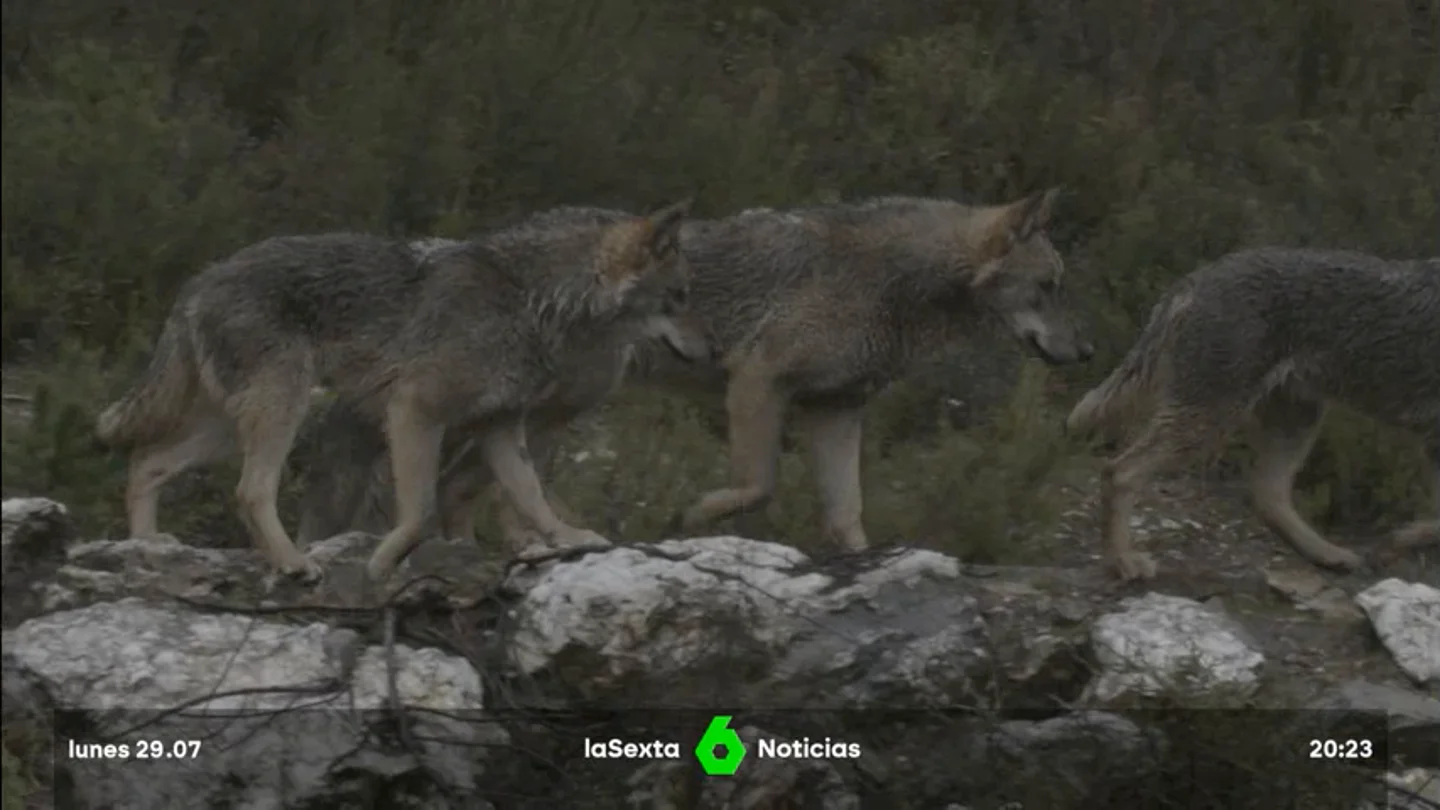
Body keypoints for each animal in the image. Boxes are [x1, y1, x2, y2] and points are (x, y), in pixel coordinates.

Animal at [94, 201, 709, 584]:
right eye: (679, 297)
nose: (707, 353)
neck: (531, 300)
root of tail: (200, 281)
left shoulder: (501, 429)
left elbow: (532, 498)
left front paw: (568, 536)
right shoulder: (415, 409)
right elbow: (420, 512)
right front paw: (381, 564)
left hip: (226, 427)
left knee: (146, 462)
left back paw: (145, 549)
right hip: (281, 410)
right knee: (249, 491)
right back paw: (292, 562)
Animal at [299, 188, 1094, 552]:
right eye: (1049, 287)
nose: (1087, 354)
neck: (890, 283)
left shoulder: (837, 411)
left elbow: (849, 516)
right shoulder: (758, 384)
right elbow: (755, 485)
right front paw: (691, 519)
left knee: (466, 486)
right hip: (562, 405)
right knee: (473, 485)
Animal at [1065, 248, 1440, 581]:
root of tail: (1197, 278)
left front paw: (1400, 542)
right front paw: (1400, 542)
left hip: (1294, 422)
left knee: (1266, 494)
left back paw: (1329, 554)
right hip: (1210, 421)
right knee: (1119, 472)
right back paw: (1122, 560)